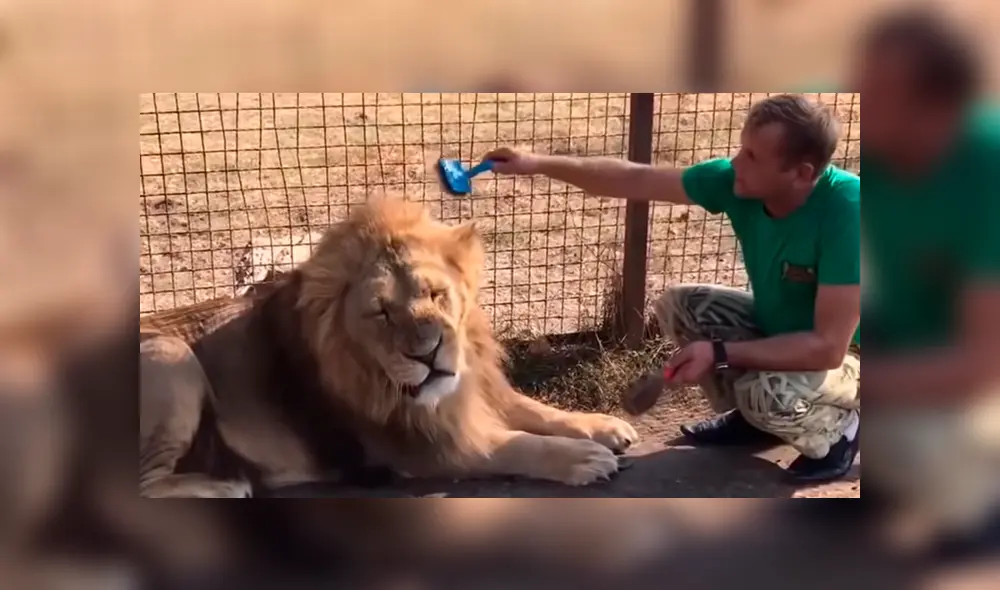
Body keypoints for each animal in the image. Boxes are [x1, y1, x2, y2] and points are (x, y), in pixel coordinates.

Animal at [140, 195, 638, 497]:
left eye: (436, 294)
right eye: (381, 312)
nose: (429, 353)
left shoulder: (473, 393)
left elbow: (535, 410)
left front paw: (602, 425)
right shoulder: (423, 449)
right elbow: (513, 444)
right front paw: (581, 457)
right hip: (172, 357)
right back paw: (225, 485)